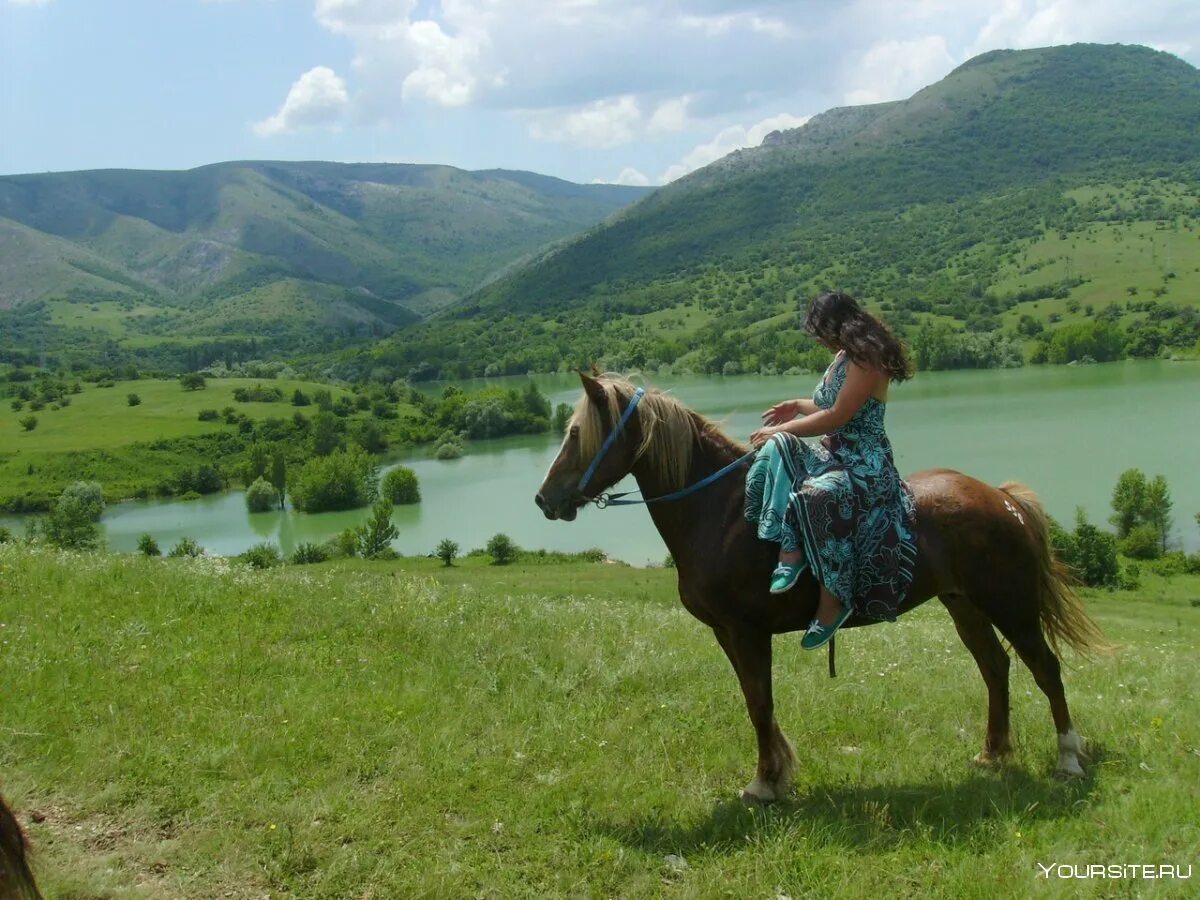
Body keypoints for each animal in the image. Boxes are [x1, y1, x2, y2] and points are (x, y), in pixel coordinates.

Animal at [535, 372, 1104, 801]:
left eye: (577, 434)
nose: (544, 499)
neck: (723, 511)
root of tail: (1002, 499)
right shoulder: (727, 634)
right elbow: (755, 702)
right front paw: (775, 774)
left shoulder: (747, 632)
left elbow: (760, 704)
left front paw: (766, 784)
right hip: (964, 605)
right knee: (995, 667)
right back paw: (993, 753)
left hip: (1011, 605)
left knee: (1045, 669)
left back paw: (1068, 759)